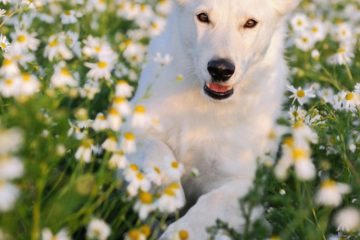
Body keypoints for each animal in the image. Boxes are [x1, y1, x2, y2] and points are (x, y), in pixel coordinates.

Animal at [131, 0, 300, 238]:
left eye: (250, 23)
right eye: (203, 17)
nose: (220, 69)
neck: (206, 106)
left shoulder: (243, 185)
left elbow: (209, 206)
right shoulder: (131, 128)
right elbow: (154, 147)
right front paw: (167, 190)